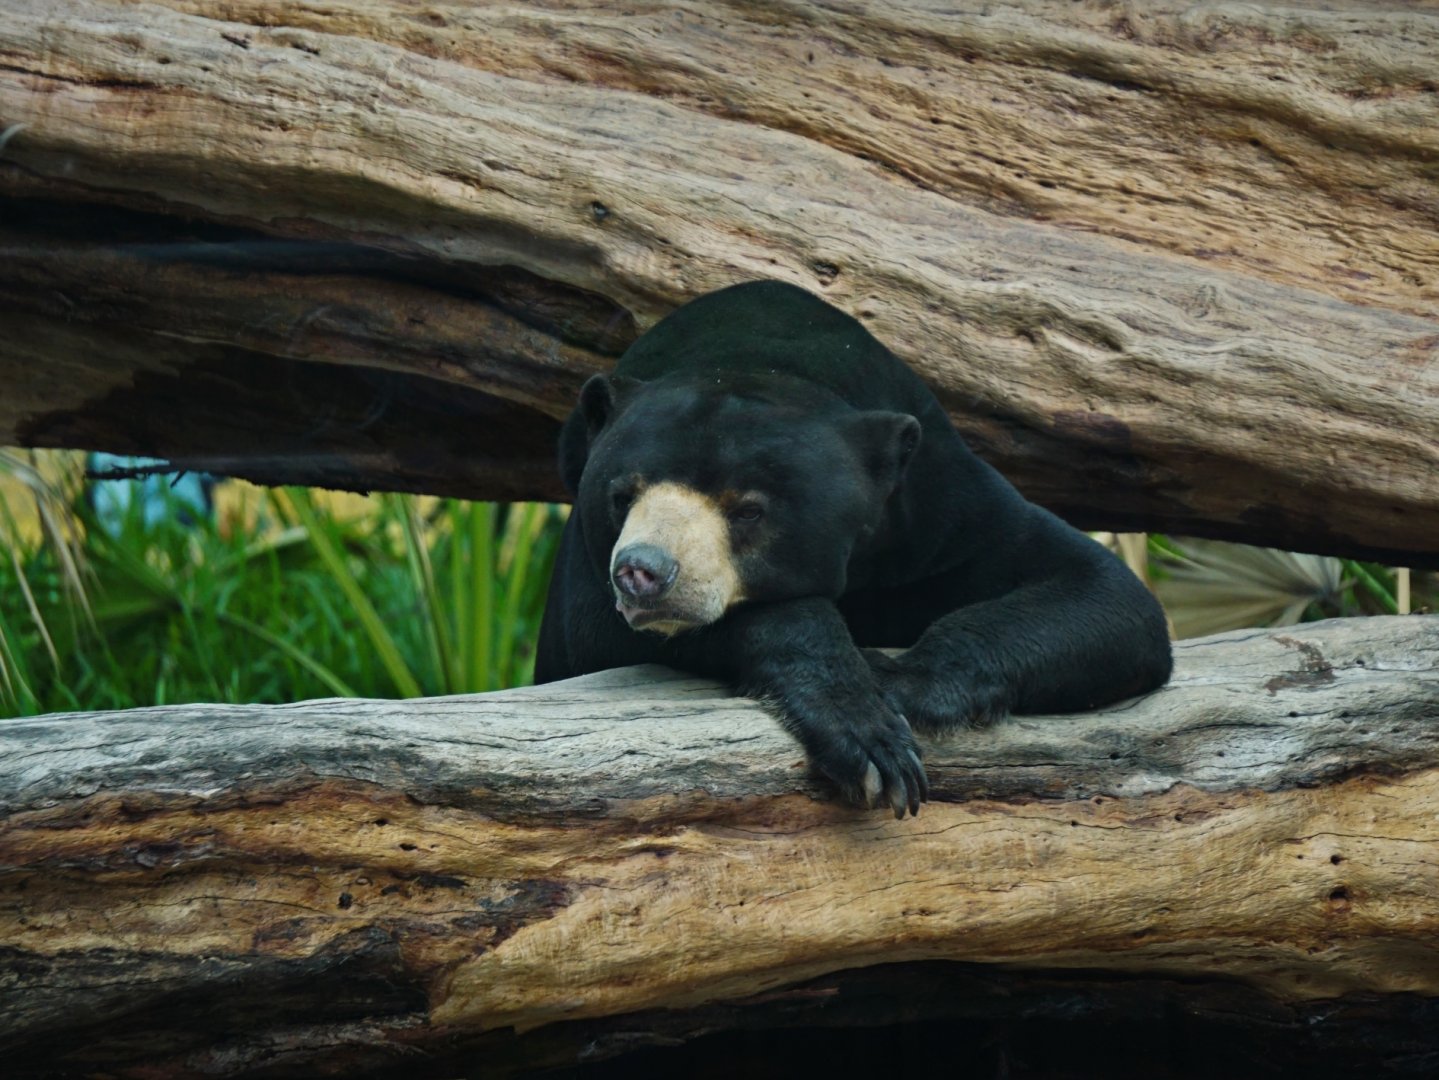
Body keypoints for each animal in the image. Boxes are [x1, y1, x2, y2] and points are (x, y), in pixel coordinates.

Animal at [535, 280, 1172, 817]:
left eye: (748, 510)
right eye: (621, 496)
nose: (642, 574)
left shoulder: (939, 508)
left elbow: (1104, 594)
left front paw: (898, 680)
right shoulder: (587, 556)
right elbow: (601, 632)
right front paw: (865, 732)